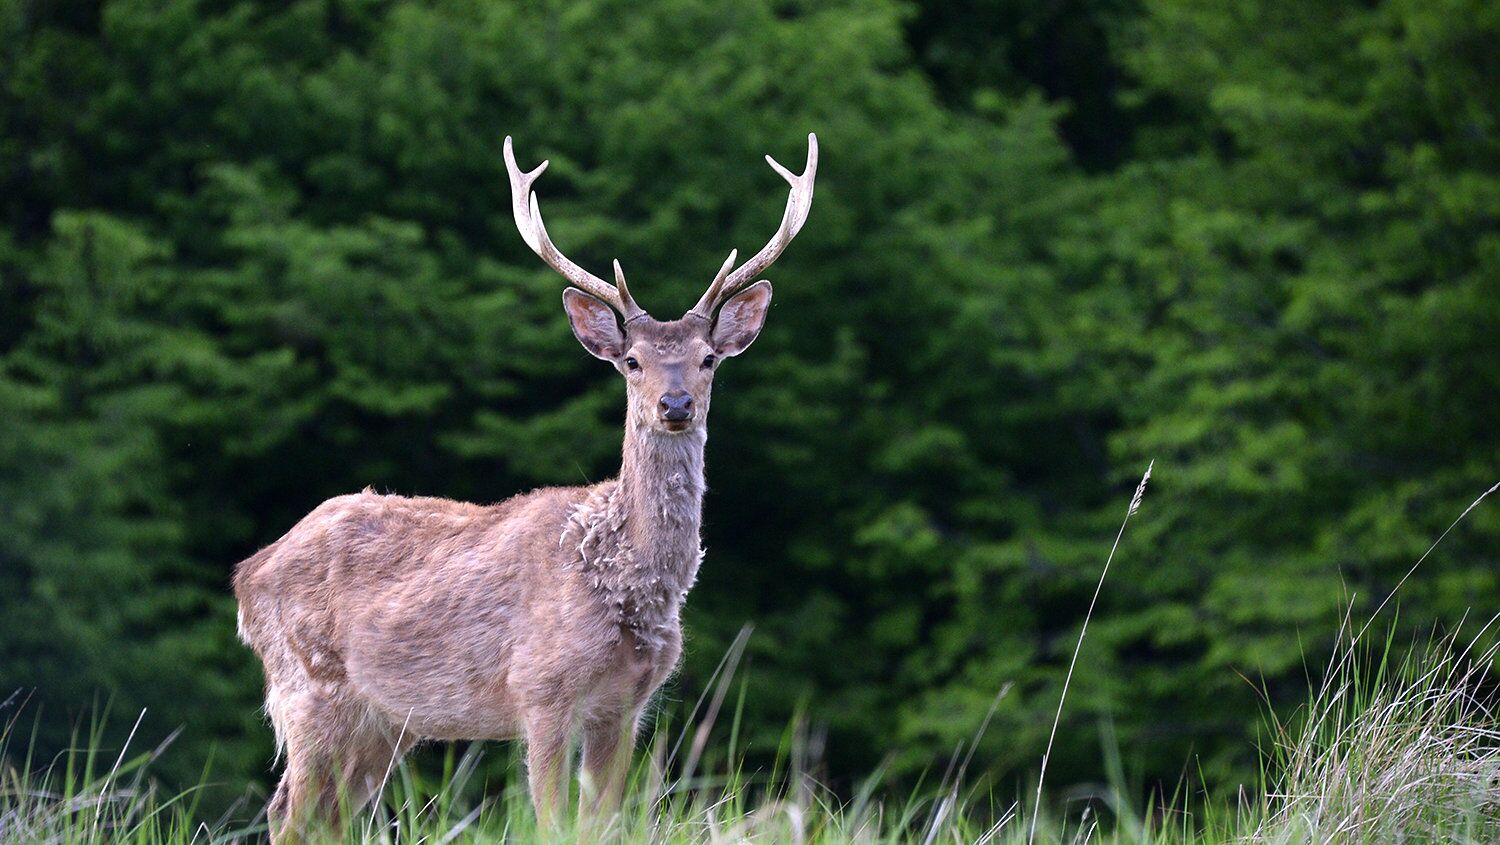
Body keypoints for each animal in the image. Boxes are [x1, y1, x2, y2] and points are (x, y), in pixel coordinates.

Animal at [234, 132, 822, 840]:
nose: (676, 404)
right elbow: (551, 821)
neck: (622, 578)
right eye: (632, 361)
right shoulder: (540, 688)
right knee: (288, 810)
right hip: (306, 684)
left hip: (384, 720)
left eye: (708, 359)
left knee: (328, 812)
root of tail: (247, 573)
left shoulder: (627, 705)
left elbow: (601, 823)